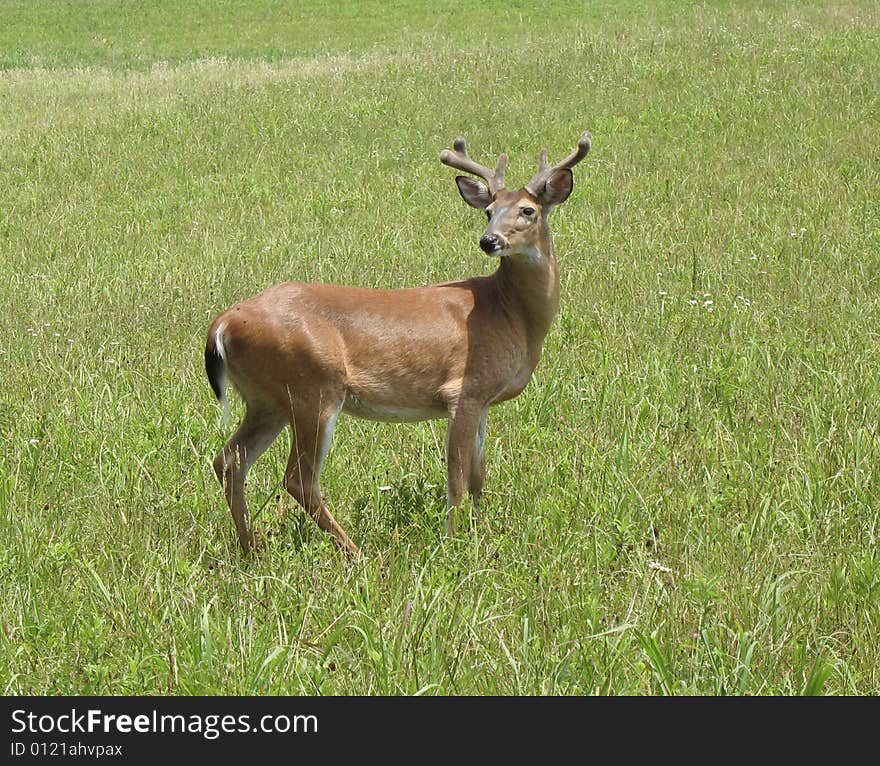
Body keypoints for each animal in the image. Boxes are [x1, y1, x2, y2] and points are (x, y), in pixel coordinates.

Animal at [206, 130, 592, 552]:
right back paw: (355, 553)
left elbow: (479, 474)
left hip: (267, 400)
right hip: (313, 388)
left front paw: (483, 532)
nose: (488, 240)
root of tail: (222, 324)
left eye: (527, 211)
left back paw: (251, 548)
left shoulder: (484, 399)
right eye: (488, 210)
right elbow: (456, 477)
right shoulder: (463, 390)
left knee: (229, 461)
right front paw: (451, 543)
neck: (508, 314)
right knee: (299, 479)